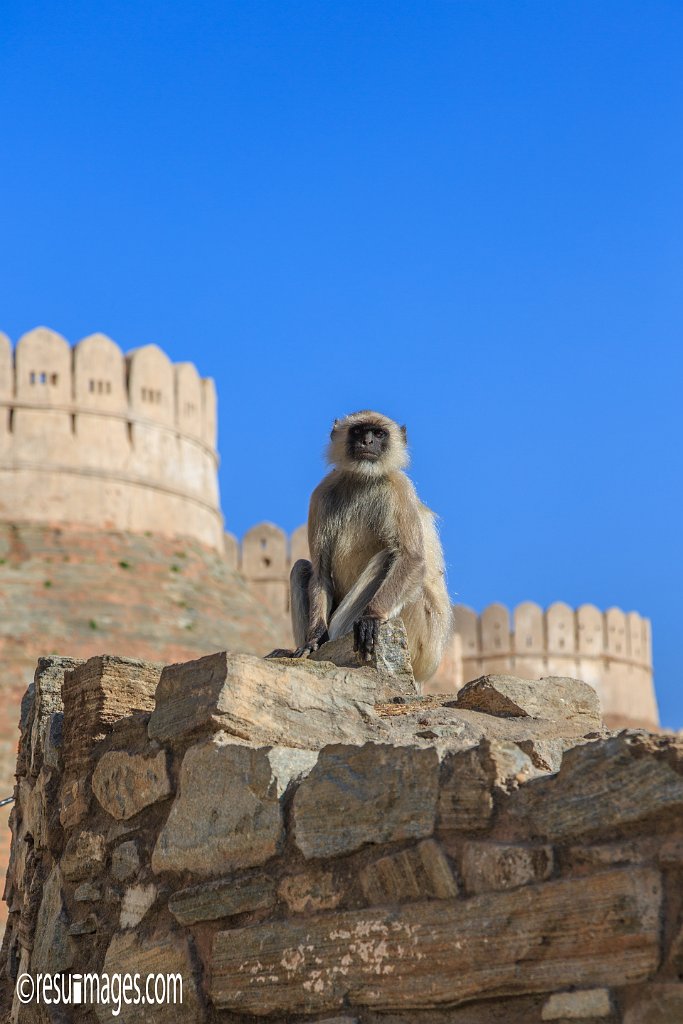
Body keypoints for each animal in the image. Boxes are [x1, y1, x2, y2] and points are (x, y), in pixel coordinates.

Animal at [268, 407, 454, 679]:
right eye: (358, 431)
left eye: (378, 433)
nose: (367, 442)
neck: (363, 479)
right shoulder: (321, 493)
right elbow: (320, 573)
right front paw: (313, 640)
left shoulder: (398, 486)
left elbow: (411, 559)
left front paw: (371, 618)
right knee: (302, 567)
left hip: (422, 635)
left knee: (389, 555)